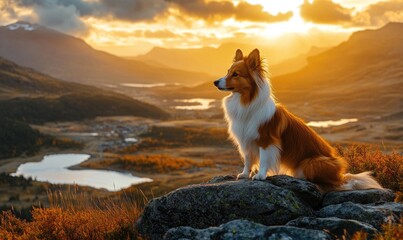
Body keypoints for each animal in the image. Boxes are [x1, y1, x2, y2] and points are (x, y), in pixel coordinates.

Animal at [215, 48, 382, 191]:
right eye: (228, 72)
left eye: (236, 74)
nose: (215, 82)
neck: (246, 102)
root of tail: (340, 174)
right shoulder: (246, 139)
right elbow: (248, 159)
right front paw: (244, 174)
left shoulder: (266, 140)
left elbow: (263, 159)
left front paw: (260, 176)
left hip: (312, 162)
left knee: (333, 182)